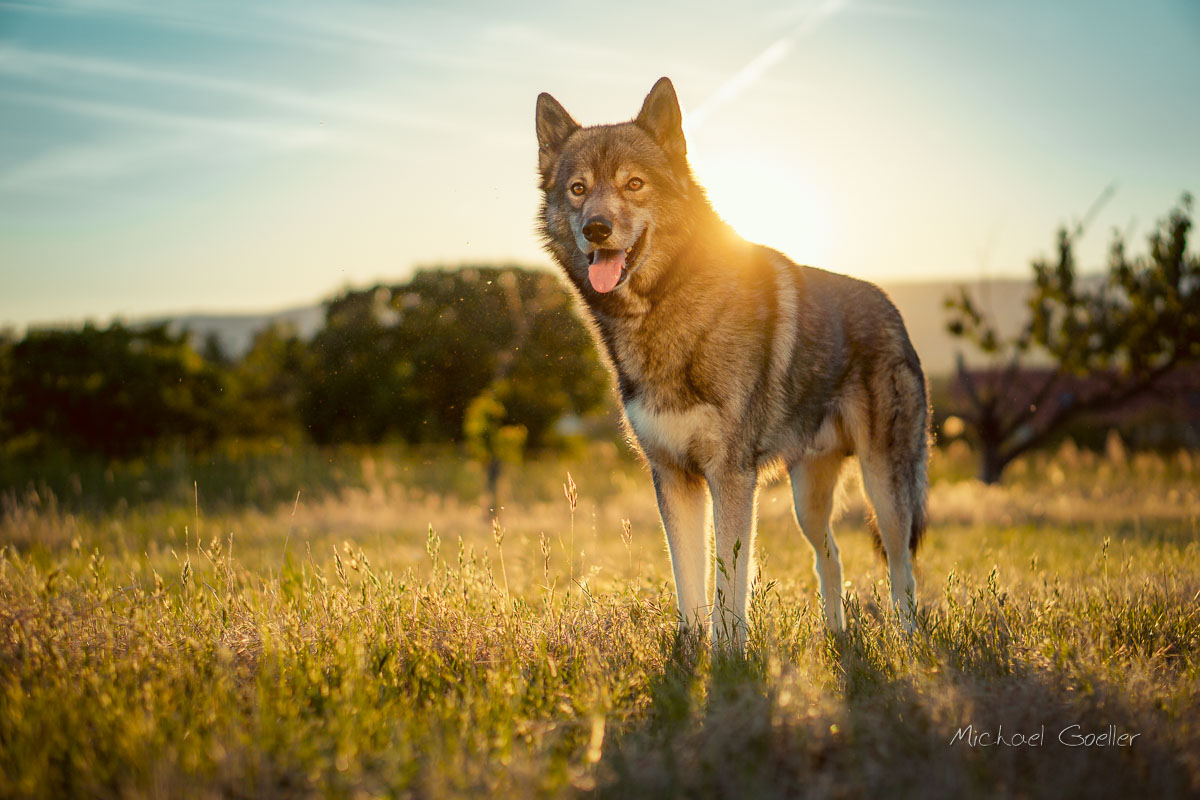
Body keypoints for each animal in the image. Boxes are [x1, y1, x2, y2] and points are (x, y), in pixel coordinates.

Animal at [532, 77, 926, 647]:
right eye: (578, 189)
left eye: (634, 183)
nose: (597, 229)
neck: (664, 309)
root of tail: (892, 309)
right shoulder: (674, 476)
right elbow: (689, 581)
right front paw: (690, 653)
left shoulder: (731, 477)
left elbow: (728, 585)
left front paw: (729, 658)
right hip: (808, 500)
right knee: (831, 557)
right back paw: (836, 639)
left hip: (885, 487)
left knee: (902, 570)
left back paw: (909, 645)